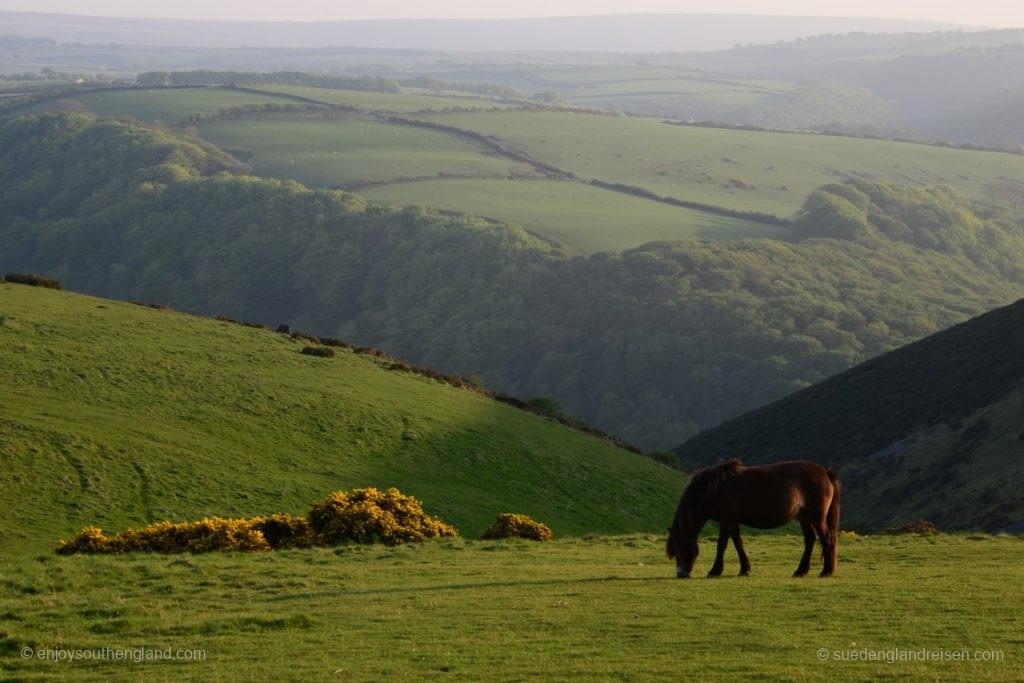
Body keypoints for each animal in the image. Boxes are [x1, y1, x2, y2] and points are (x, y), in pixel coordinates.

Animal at [663, 462, 839, 581]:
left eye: (679, 549)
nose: (681, 574)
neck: (713, 489)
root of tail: (825, 472)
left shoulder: (726, 520)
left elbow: (722, 545)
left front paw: (715, 571)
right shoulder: (733, 522)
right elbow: (738, 543)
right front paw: (744, 569)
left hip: (817, 517)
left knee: (826, 539)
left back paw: (826, 571)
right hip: (804, 517)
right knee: (810, 540)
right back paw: (800, 571)